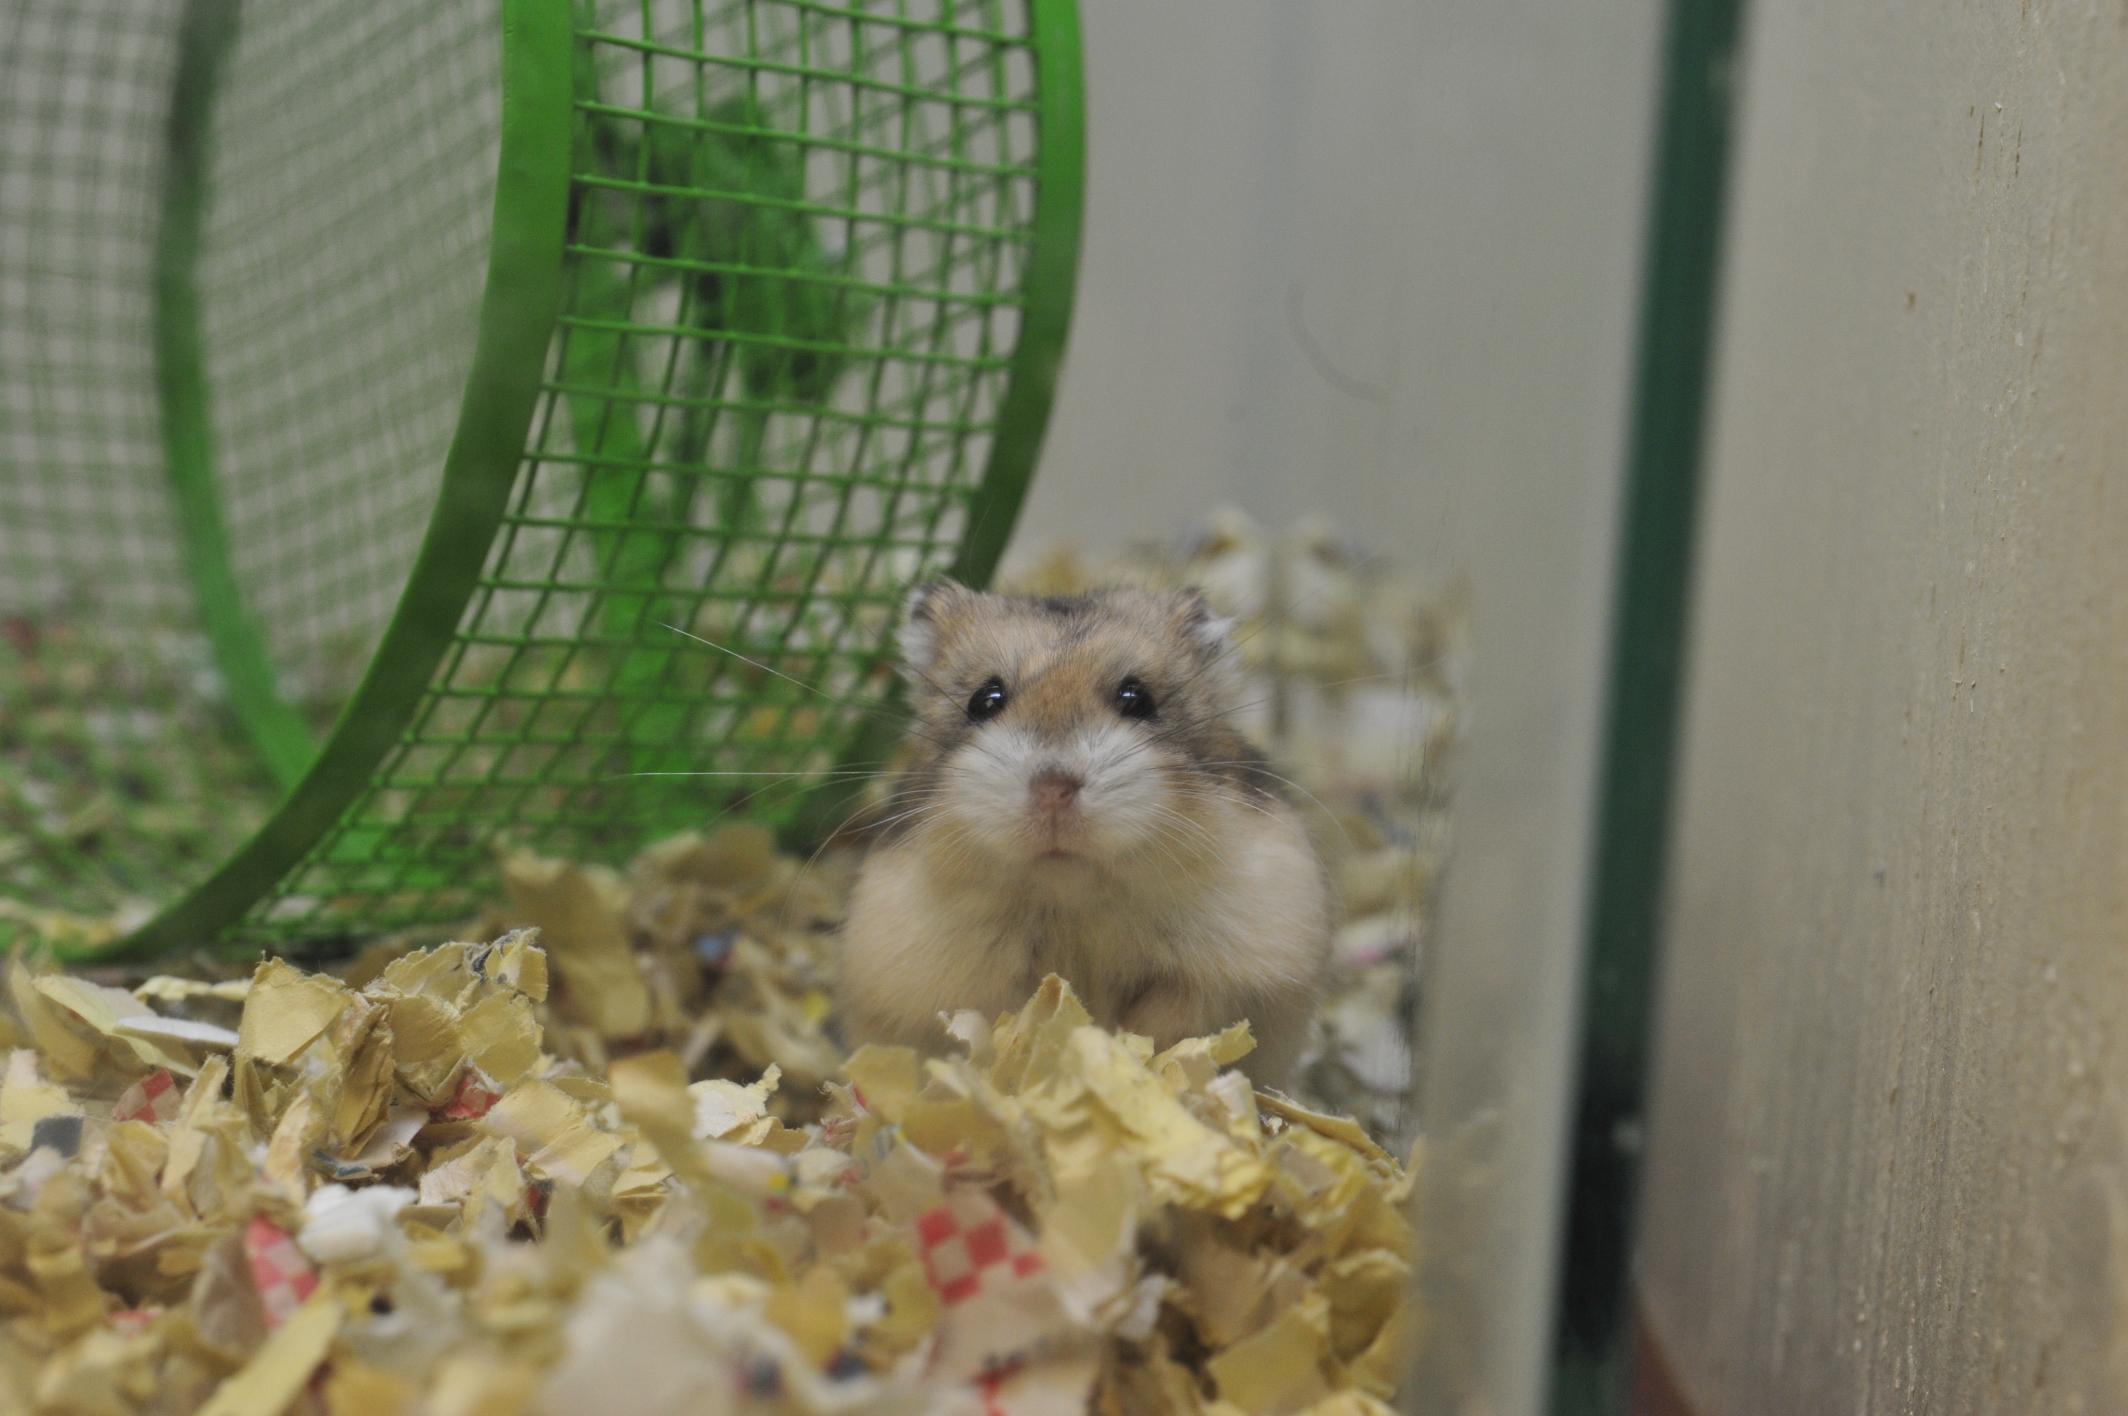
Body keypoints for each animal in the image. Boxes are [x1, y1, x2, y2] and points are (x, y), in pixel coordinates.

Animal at [837, 580, 1332, 1086]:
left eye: (1137, 699)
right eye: (984, 700)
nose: (1053, 790)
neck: (1074, 895)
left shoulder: (1243, 966)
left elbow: (1177, 1008)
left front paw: (1126, 1049)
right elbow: (1001, 1018)